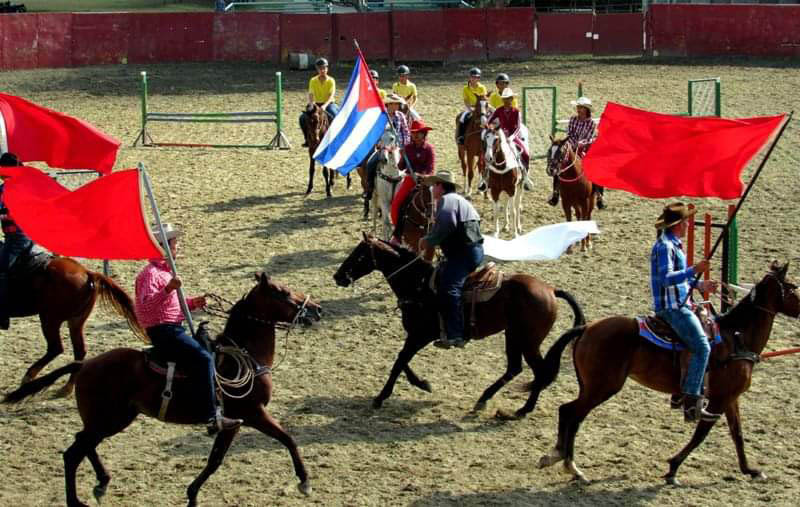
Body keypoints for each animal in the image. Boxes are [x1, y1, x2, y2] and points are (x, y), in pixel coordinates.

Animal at [3, 274, 322, 507]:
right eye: (282, 292)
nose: (316, 309)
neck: (243, 354)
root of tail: (85, 364)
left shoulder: (233, 423)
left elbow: (215, 460)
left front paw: (192, 495)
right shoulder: (251, 413)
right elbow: (287, 439)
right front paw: (305, 482)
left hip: (111, 419)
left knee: (83, 443)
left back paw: (102, 483)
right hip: (108, 419)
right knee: (73, 453)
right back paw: (78, 499)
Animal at [5, 252, 141, 398]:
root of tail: (88, 273)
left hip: (50, 319)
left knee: (56, 348)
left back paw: (29, 378)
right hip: (75, 321)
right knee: (79, 350)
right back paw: (67, 387)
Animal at [334, 234, 584, 416]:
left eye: (359, 254)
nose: (338, 276)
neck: (419, 285)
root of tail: (551, 290)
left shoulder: (420, 335)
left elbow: (400, 361)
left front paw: (380, 397)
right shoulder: (415, 335)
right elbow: (402, 360)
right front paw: (423, 383)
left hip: (527, 341)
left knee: (539, 372)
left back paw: (522, 410)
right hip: (512, 336)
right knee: (514, 368)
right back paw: (483, 400)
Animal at [532, 264, 800, 486]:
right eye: (793, 287)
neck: (737, 337)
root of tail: (587, 328)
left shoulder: (731, 398)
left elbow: (738, 435)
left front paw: (751, 470)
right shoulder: (719, 400)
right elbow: (701, 434)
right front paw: (673, 469)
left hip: (590, 386)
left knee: (569, 413)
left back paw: (561, 459)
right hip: (602, 387)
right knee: (571, 413)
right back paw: (571, 466)